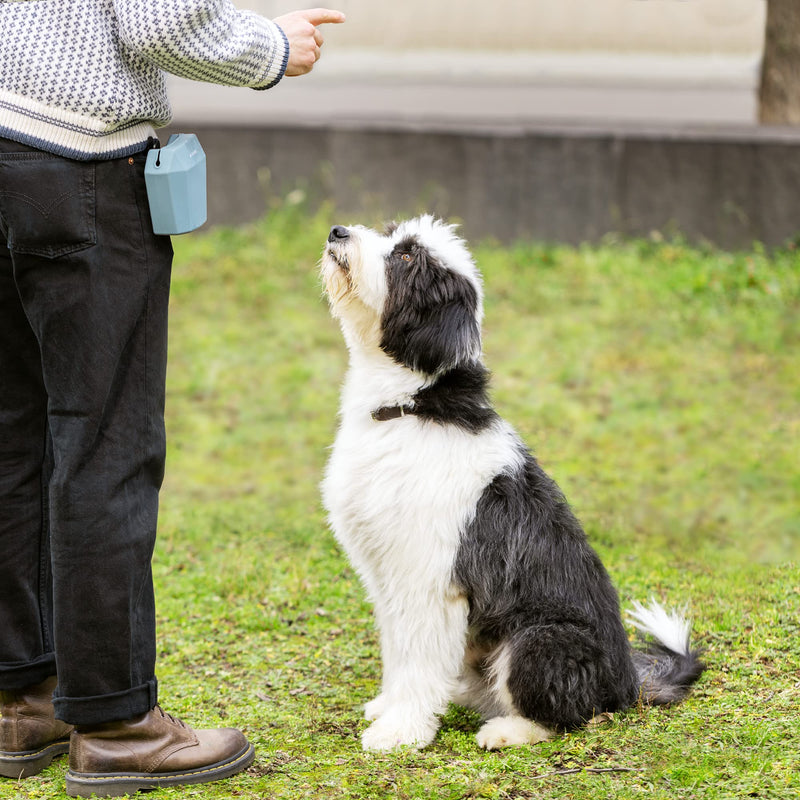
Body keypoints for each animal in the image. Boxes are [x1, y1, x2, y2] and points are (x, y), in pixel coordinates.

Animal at [320, 217, 708, 752]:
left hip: (540, 640)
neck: (414, 407)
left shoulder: (430, 579)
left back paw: (506, 730)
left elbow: (417, 660)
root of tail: (628, 683)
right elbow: (400, 654)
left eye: (405, 257)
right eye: (390, 232)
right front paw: (390, 709)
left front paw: (401, 731)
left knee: (566, 715)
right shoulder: (386, 576)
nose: (338, 231)